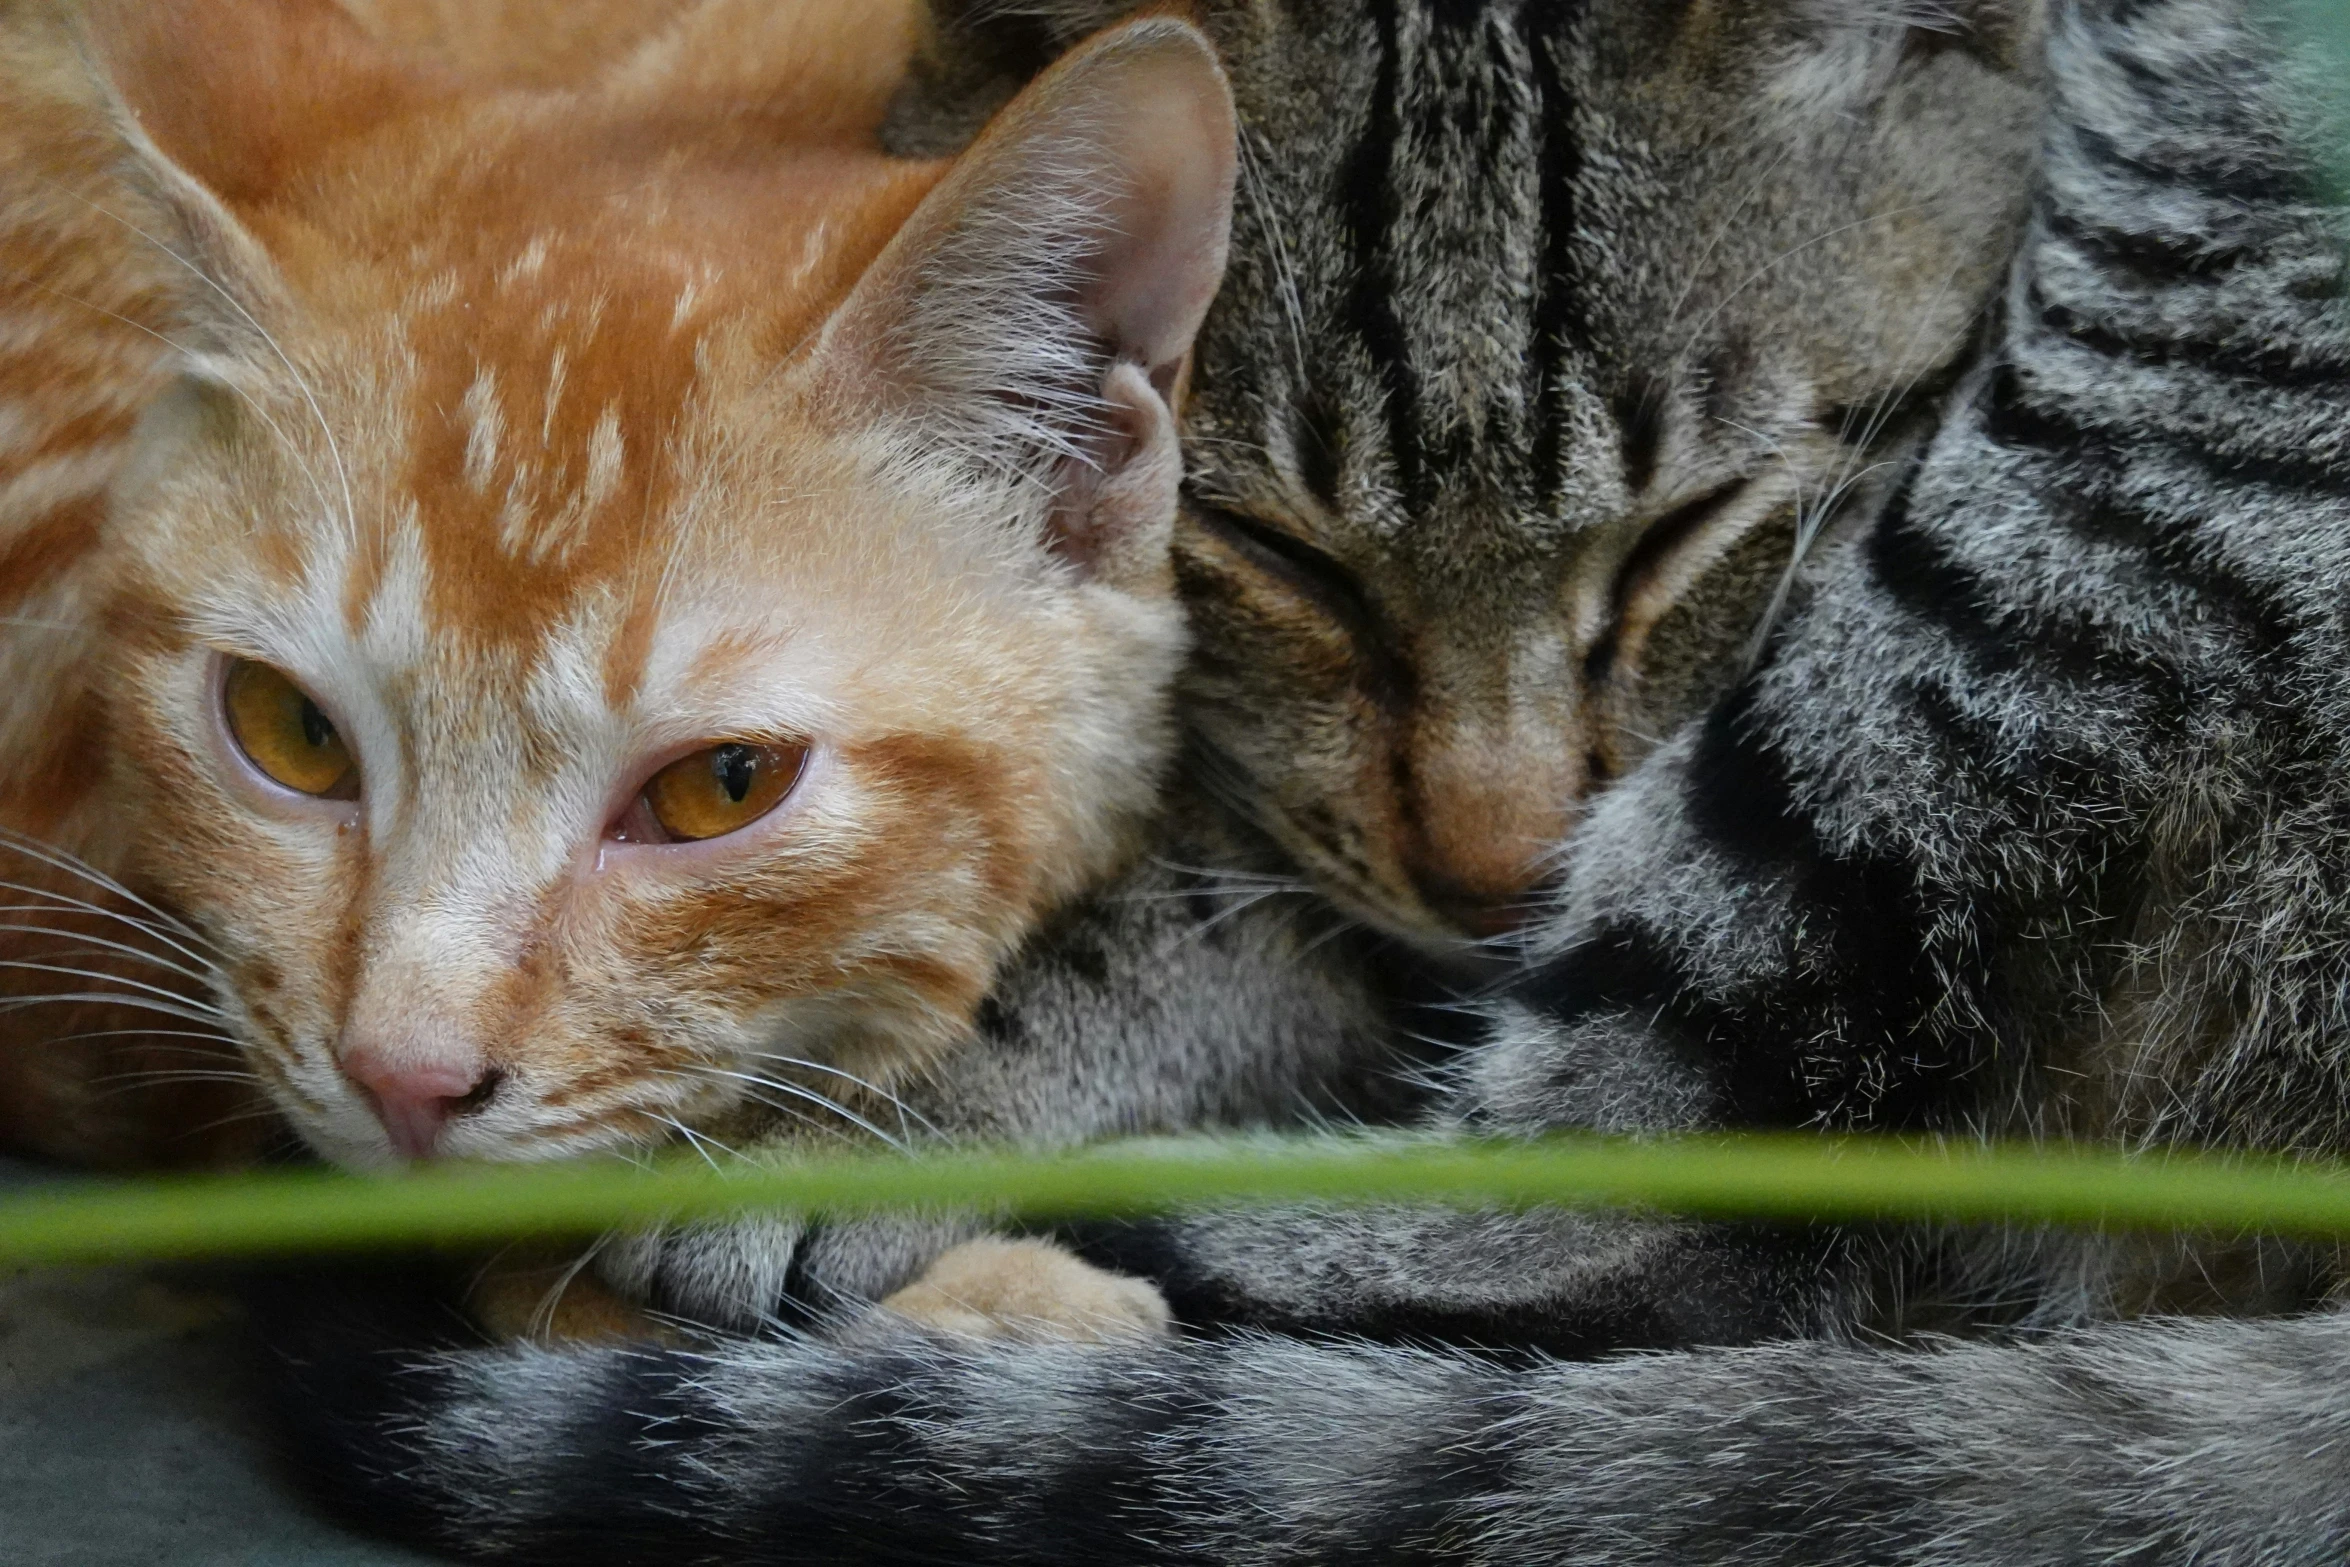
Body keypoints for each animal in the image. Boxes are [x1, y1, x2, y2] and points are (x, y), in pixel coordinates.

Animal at [274, 0, 2350, 1559]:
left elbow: (1206, 926)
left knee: (1636, 1198)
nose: (1503, 872)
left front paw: (821, 1092)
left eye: (1683, 535)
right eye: (1282, 554)